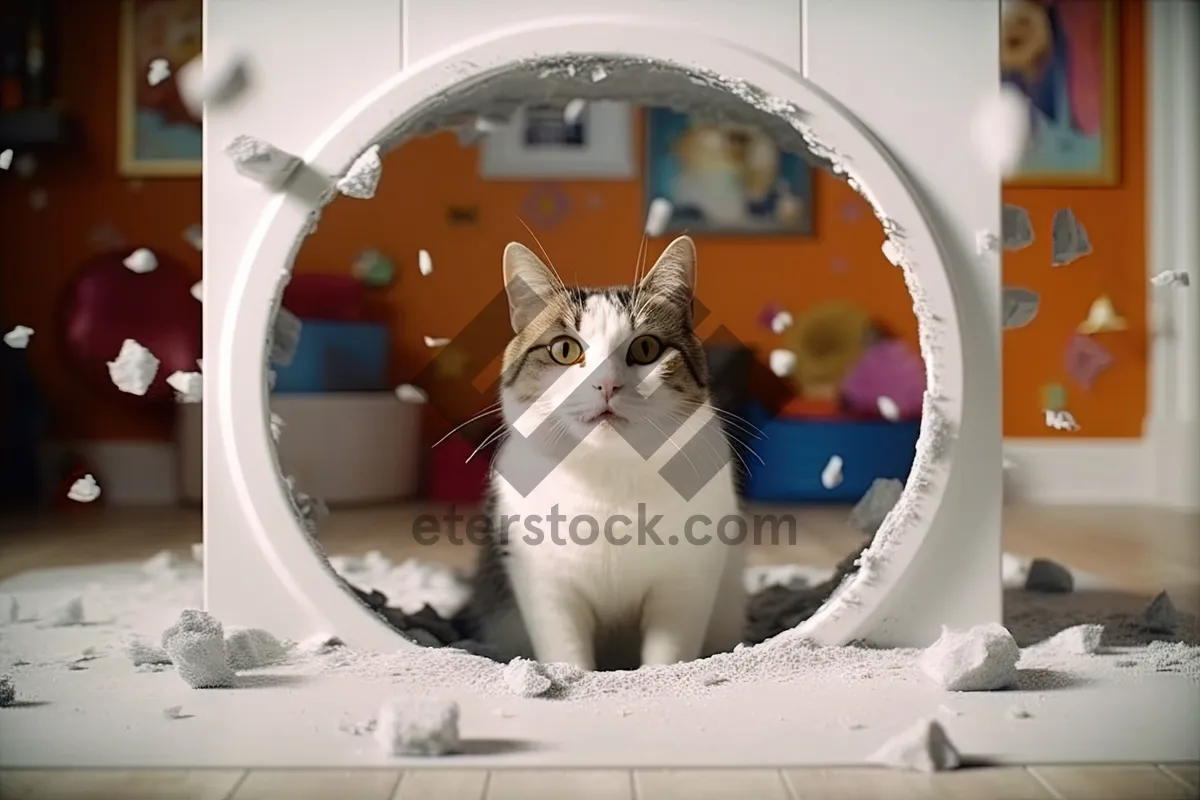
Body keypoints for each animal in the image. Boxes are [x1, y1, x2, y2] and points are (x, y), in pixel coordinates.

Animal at [456, 236, 744, 671]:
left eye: (646, 347)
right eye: (563, 349)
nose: (606, 384)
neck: (608, 476)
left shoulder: (685, 582)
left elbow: (668, 653)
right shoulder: (546, 585)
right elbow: (567, 653)